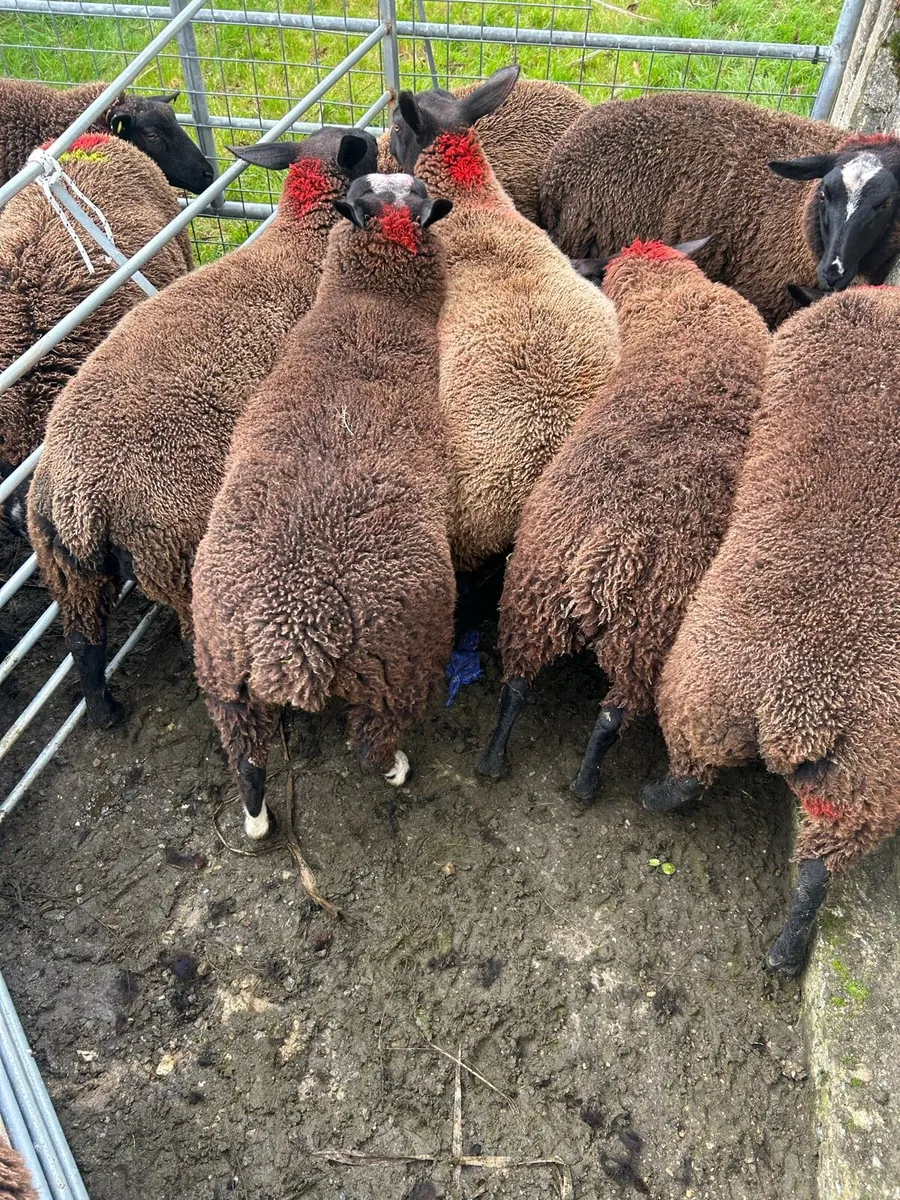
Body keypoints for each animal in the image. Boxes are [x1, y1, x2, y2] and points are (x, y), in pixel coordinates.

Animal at [27, 128, 377, 729]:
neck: (303, 241)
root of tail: (78, 499)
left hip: (66, 571)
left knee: (83, 643)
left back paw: (105, 714)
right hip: (177, 553)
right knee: (198, 644)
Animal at [191, 173, 455, 840]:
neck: (369, 303)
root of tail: (296, 634)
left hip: (224, 675)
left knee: (247, 759)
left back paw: (258, 821)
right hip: (400, 666)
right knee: (370, 742)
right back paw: (396, 768)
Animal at [477, 238, 769, 794]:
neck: (671, 290)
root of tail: (607, 553)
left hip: (539, 599)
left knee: (521, 686)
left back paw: (500, 762)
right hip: (635, 638)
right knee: (608, 715)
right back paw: (580, 784)